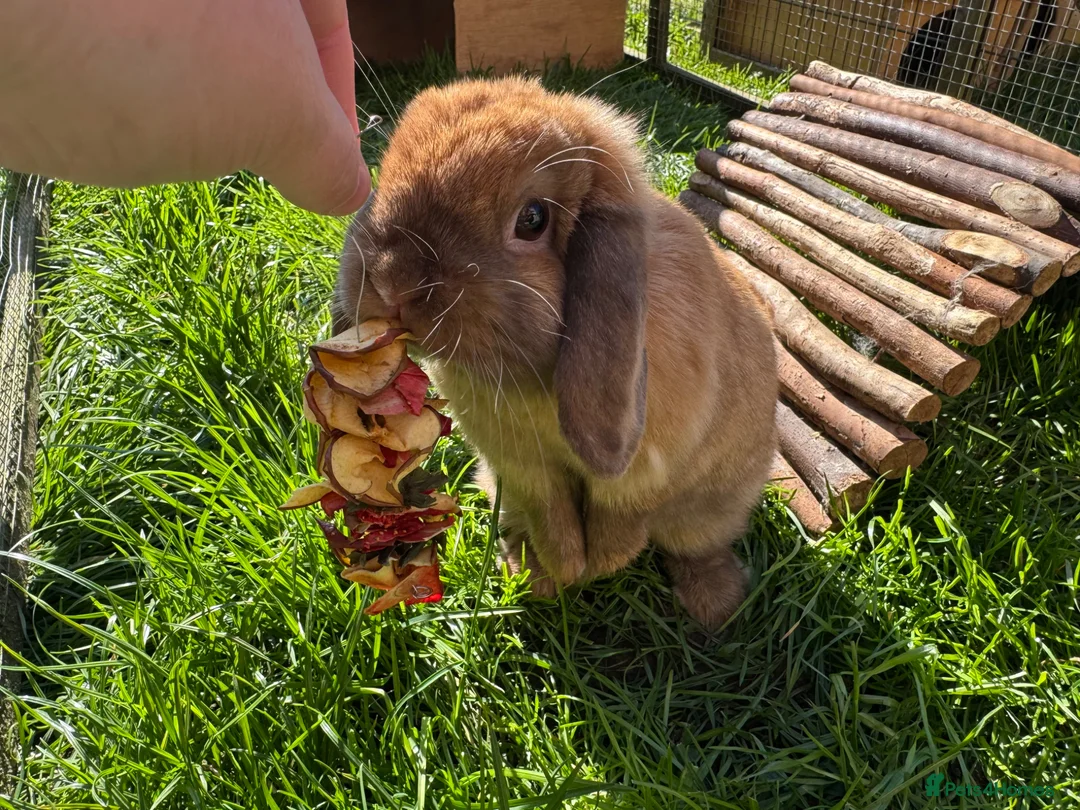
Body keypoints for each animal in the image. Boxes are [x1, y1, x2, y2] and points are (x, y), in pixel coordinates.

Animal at [332, 76, 777, 629]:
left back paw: (716, 606)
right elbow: (553, 516)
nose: (391, 283)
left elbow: (619, 518)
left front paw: (601, 564)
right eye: (387, 168)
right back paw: (527, 568)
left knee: (695, 547)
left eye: (532, 219)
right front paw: (565, 570)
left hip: (712, 511)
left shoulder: (643, 473)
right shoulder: (523, 468)